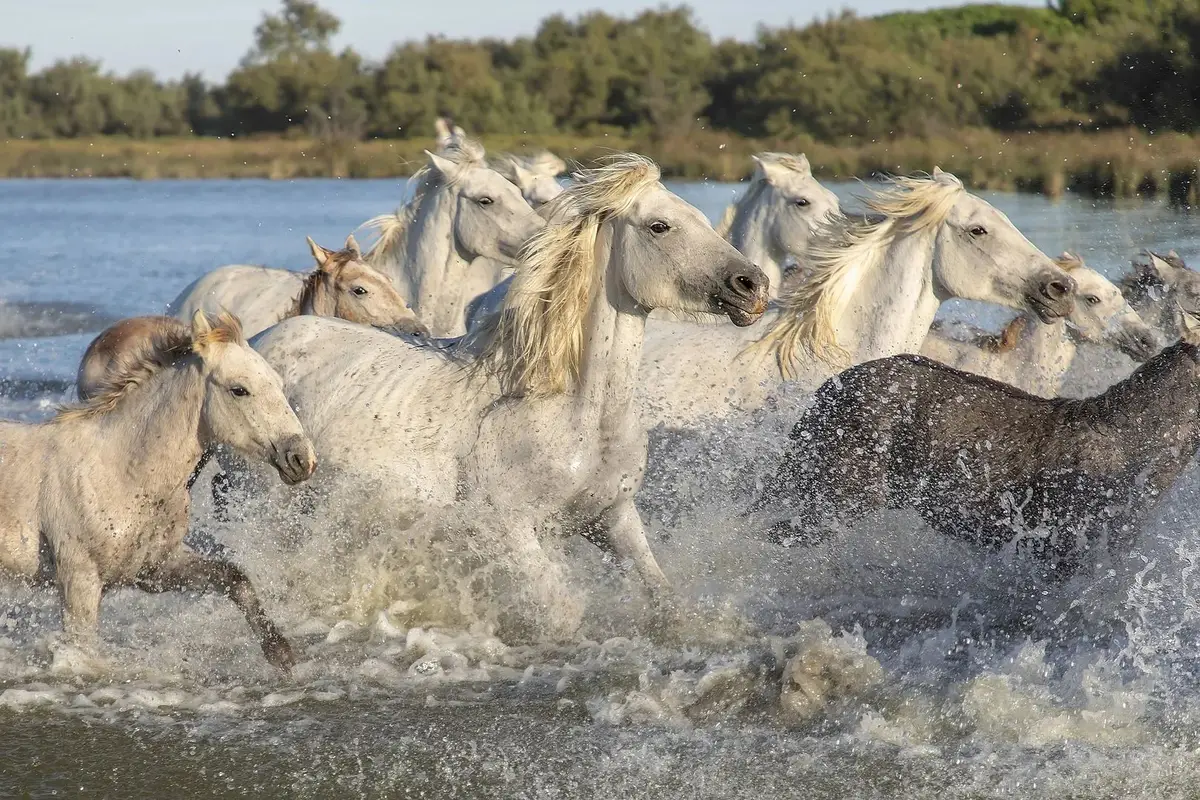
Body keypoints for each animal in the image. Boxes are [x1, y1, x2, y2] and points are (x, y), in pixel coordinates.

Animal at [0, 311, 316, 670]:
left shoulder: (155, 570)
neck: (120, 470)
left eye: (278, 385)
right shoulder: (79, 580)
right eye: (239, 390)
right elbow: (83, 650)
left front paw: (281, 652)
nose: (301, 458)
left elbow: (235, 578)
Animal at [250, 154, 769, 638]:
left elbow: (663, 598)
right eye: (660, 226)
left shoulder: (613, 517)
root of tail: (259, 340)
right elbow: (562, 612)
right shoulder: (510, 530)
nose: (754, 285)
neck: (576, 413)